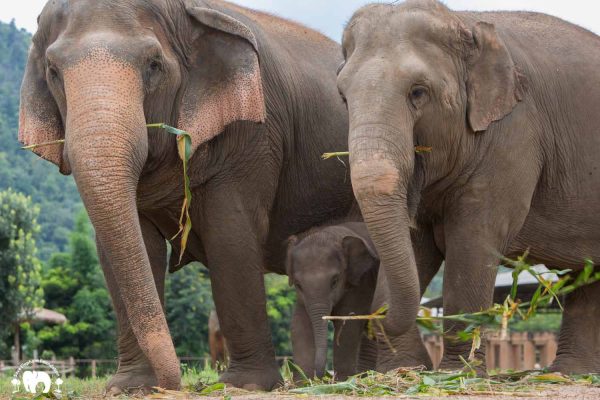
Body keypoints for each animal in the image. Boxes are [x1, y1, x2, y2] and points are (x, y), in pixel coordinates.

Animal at [18, 0, 352, 394]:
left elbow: (230, 235)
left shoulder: (255, 133)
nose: (174, 382)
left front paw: (244, 385)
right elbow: (128, 249)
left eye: (153, 65)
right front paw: (130, 387)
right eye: (53, 71)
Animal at [284, 223, 378, 380]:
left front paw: (344, 380)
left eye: (334, 281)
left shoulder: (360, 283)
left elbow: (348, 325)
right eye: (298, 285)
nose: (321, 376)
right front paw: (304, 382)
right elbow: (299, 325)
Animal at [338, 0, 600, 374]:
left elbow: (474, 241)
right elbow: (415, 243)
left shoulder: (514, 133)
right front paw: (405, 370)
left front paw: (454, 372)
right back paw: (567, 372)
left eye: (418, 92)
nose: (364, 318)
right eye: (343, 97)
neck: (463, 21)